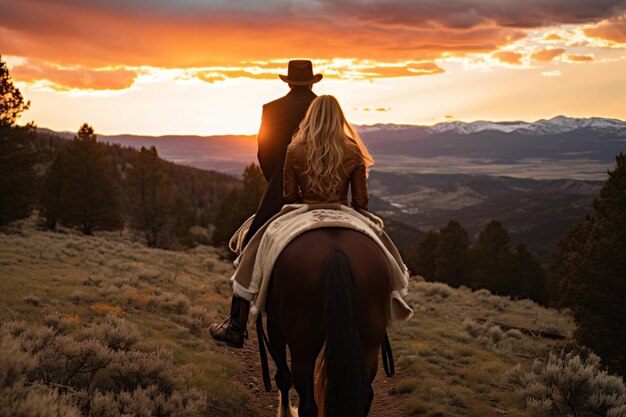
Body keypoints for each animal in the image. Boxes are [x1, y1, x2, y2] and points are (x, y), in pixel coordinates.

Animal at [264, 228, 390, 416]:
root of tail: (336, 254)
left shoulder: (275, 323)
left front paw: (285, 411)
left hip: (302, 344)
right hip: (370, 342)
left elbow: (283, 377)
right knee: (365, 396)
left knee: (307, 404)